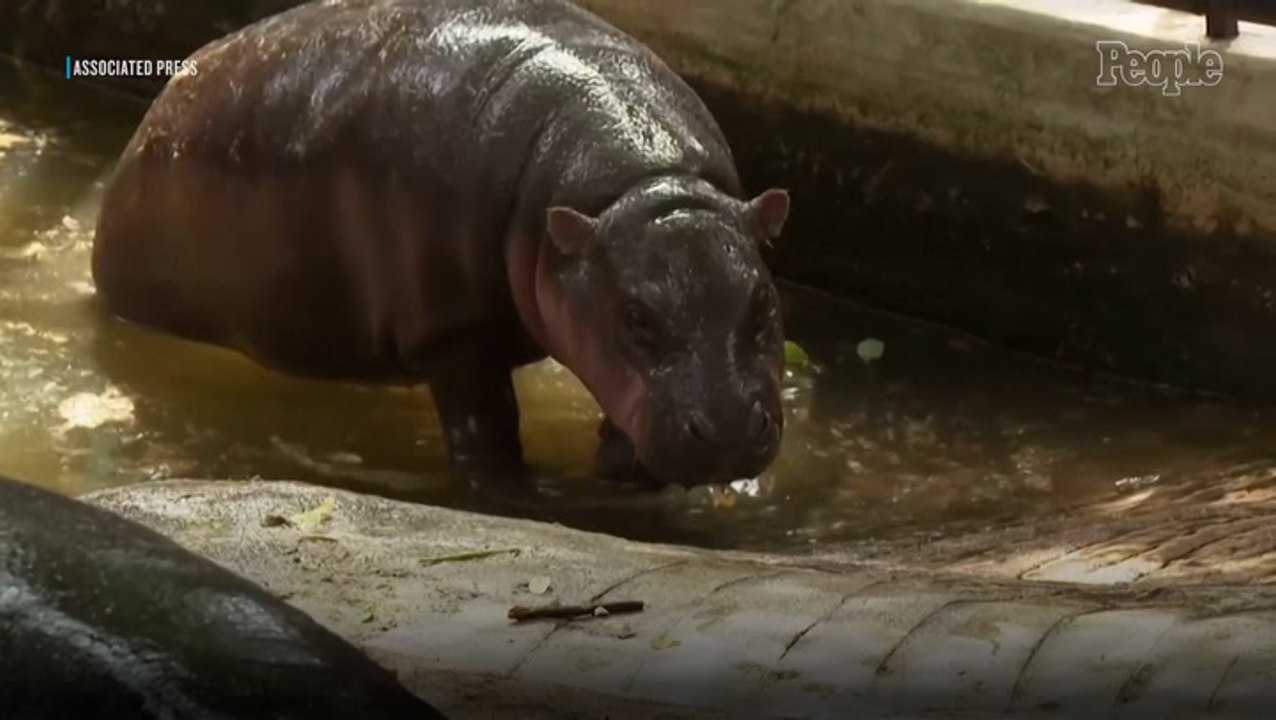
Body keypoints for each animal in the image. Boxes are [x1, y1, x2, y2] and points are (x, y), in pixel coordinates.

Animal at [91, 0, 791, 487]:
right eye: (637, 317)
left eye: (764, 303)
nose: (728, 430)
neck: (642, 186)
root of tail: (154, 114)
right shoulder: (454, 333)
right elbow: (487, 429)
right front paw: (523, 489)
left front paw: (620, 468)